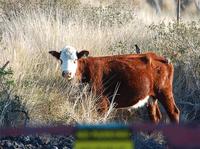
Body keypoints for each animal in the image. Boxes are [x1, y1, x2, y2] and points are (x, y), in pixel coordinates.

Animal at [49, 45, 180, 123]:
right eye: (61, 60)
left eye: (75, 60)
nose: (67, 73)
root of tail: (159, 57)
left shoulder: (102, 102)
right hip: (151, 96)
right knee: (155, 117)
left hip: (164, 91)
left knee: (174, 113)